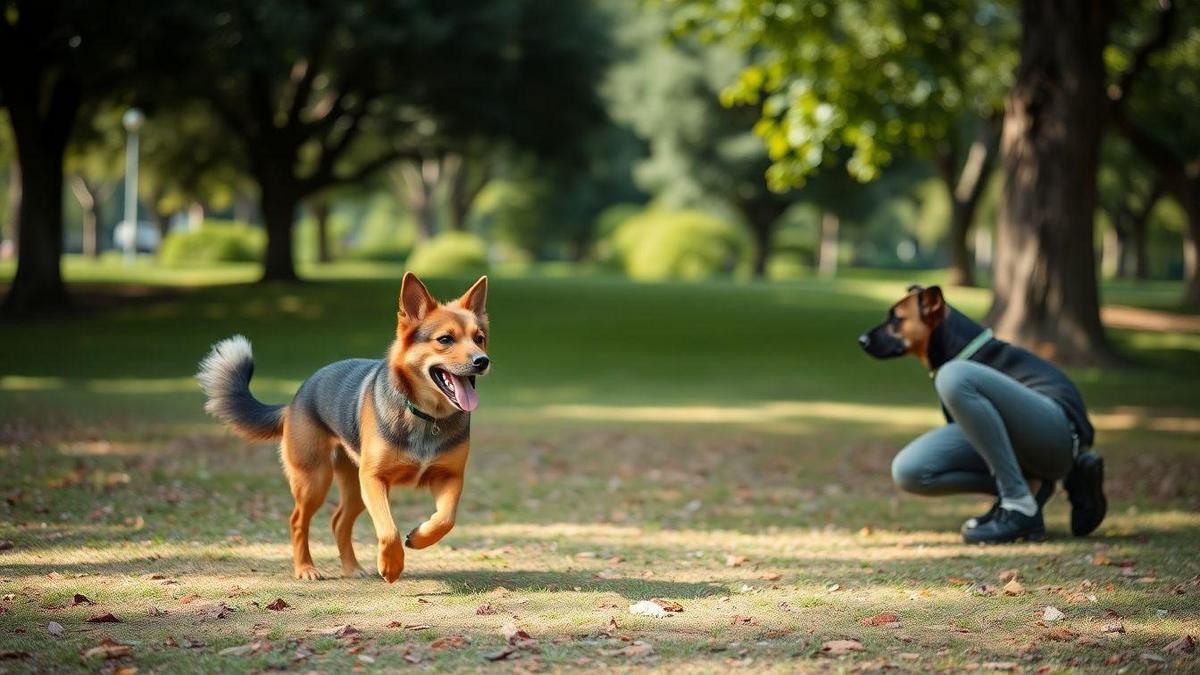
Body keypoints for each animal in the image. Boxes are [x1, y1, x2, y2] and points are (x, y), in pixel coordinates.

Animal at [199, 271, 489, 578]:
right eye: (445, 339)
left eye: (479, 338)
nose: (482, 361)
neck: (425, 416)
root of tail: (296, 398)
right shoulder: (374, 479)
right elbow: (388, 530)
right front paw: (391, 565)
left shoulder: (449, 477)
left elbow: (446, 519)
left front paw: (419, 537)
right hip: (315, 480)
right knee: (297, 520)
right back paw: (305, 568)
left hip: (354, 486)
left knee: (339, 521)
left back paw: (352, 567)